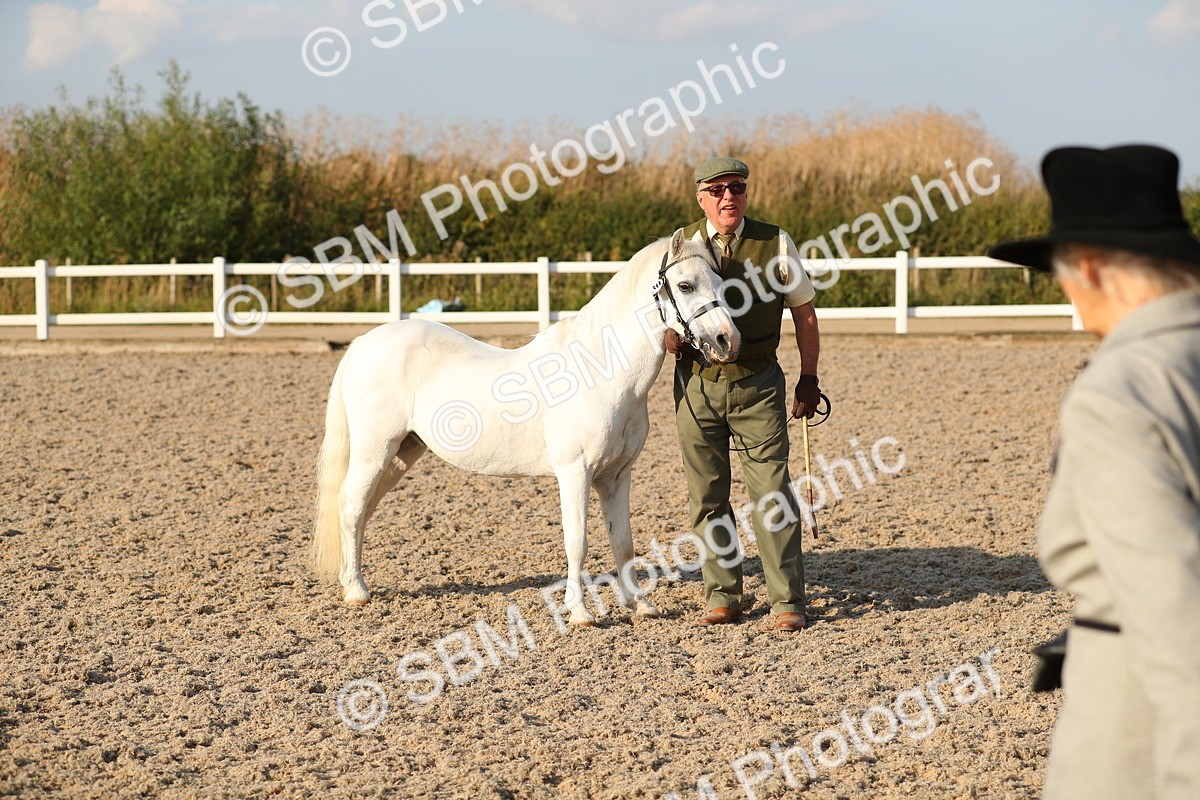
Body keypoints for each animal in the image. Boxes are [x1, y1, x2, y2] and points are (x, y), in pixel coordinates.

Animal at [311, 229, 741, 626]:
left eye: (720, 282)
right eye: (685, 285)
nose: (727, 340)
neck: (600, 370)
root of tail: (362, 343)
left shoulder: (617, 476)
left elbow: (622, 542)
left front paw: (641, 605)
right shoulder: (575, 473)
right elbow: (577, 542)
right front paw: (579, 613)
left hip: (402, 453)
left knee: (362, 510)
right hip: (374, 452)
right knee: (350, 506)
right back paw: (357, 592)